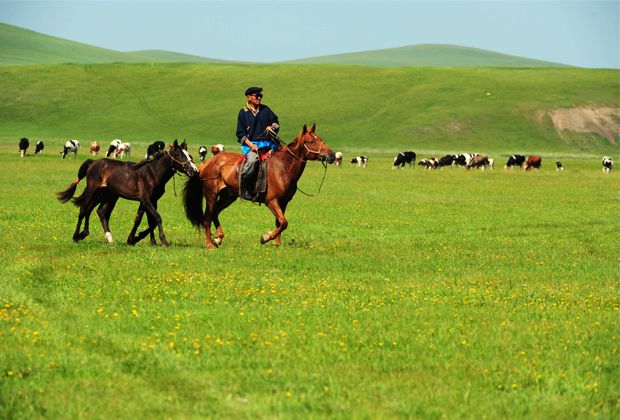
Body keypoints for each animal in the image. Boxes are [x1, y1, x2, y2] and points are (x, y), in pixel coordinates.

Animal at [57, 140, 199, 246]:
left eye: (190, 156)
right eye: (181, 156)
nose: (195, 171)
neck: (153, 173)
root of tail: (93, 162)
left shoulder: (151, 200)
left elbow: (144, 220)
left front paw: (135, 239)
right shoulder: (146, 200)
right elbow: (157, 218)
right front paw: (163, 240)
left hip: (108, 196)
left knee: (99, 212)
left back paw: (107, 238)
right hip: (93, 191)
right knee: (84, 209)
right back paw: (76, 236)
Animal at [184, 123, 336, 248]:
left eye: (320, 139)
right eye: (312, 141)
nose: (332, 155)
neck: (283, 167)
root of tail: (206, 163)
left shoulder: (283, 202)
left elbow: (280, 222)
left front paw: (277, 243)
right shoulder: (271, 201)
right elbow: (284, 222)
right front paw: (265, 237)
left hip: (228, 196)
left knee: (215, 213)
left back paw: (218, 239)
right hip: (211, 195)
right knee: (207, 218)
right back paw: (209, 243)